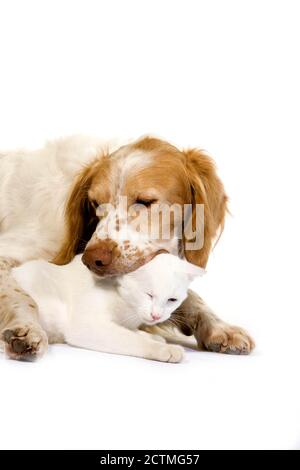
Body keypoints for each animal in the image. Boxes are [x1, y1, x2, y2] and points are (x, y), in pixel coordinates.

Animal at [11, 255, 204, 362]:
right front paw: (165, 349)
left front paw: (152, 336)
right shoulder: (86, 326)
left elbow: (132, 332)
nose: (157, 316)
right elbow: (132, 339)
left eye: (172, 300)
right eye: (149, 294)